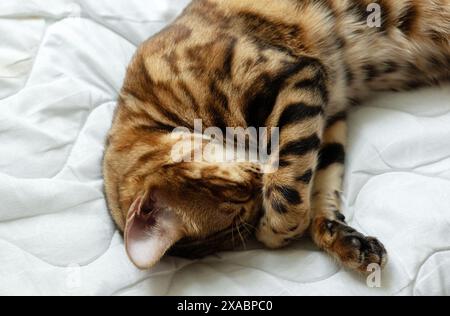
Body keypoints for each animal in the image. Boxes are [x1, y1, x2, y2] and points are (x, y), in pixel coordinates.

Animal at [103, 0, 450, 272]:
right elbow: (320, 184)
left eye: (236, 194)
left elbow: (289, 191)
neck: (150, 103)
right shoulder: (330, 114)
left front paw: (275, 230)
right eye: (240, 210)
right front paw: (342, 239)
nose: (260, 181)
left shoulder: (295, 79)